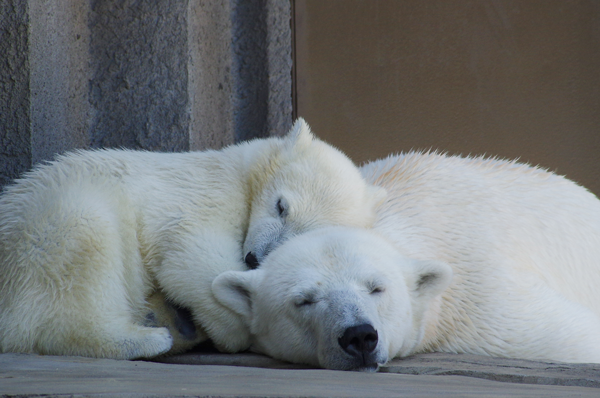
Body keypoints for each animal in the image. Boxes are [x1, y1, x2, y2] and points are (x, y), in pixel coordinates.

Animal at [0, 119, 384, 360]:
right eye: (281, 206)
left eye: (300, 234)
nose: (254, 258)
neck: (241, 172)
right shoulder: (205, 193)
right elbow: (192, 253)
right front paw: (235, 327)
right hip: (44, 230)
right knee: (84, 252)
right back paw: (147, 338)